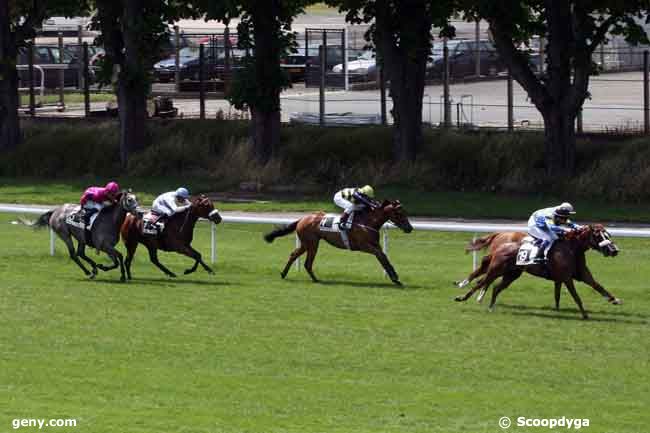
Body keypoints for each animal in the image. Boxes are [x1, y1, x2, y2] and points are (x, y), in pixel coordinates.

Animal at [262, 200, 410, 286]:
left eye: (404, 212)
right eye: (399, 213)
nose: (409, 228)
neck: (367, 221)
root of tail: (302, 219)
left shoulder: (375, 245)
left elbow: (383, 257)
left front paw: (394, 277)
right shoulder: (364, 246)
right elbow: (382, 256)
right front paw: (395, 277)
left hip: (306, 244)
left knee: (294, 255)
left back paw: (285, 274)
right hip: (312, 243)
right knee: (307, 262)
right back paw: (315, 279)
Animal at [454, 224, 620, 318]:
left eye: (608, 235)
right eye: (598, 235)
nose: (614, 250)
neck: (572, 248)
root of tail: (501, 240)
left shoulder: (581, 275)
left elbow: (598, 286)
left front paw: (614, 299)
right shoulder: (567, 278)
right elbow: (576, 296)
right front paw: (584, 314)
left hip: (511, 274)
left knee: (494, 286)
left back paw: (489, 306)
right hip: (496, 269)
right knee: (480, 282)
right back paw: (463, 296)